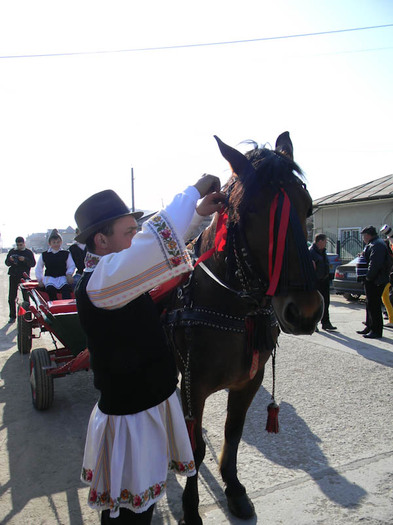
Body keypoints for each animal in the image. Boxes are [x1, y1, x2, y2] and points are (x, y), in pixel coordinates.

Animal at [164, 132, 324, 524]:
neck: (232, 309)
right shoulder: (195, 387)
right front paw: (190, 506)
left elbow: (233, 432)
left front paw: (234, 488)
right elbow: (196, 447)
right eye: (250, 211)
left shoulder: (249, 380)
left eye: (307, 208)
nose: (305, 311)